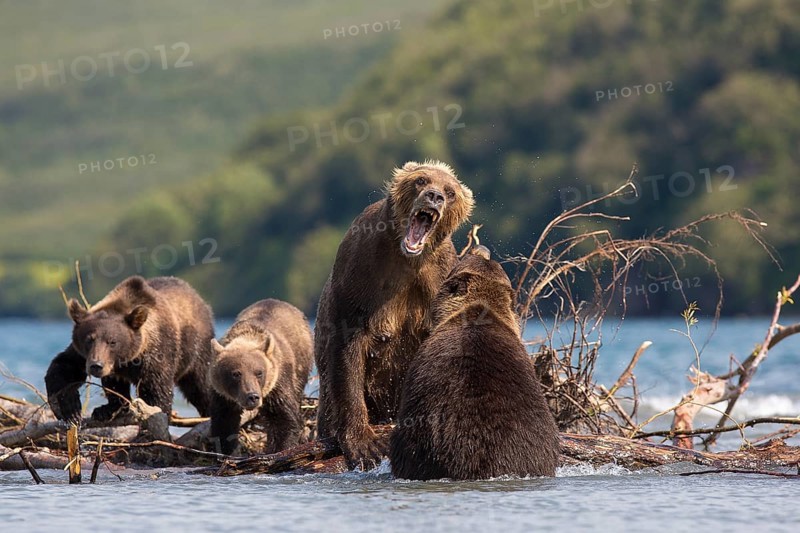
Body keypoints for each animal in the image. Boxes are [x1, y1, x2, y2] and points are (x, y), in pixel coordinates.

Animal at [45, 276, 216, 423]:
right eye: (89, 339)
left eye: (112, 342)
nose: (96, 366)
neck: (128, 358)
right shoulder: (83, 354)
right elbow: (64, 366)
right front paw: (70, 408)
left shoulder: (157, 352)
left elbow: (156, 389)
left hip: (197, 347)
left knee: (201, 385)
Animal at [208, 299, 313, 456]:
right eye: (236, 374)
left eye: (259, 372)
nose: (252, 396)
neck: (248, 336)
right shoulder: (222, 395)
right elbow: (224, 422)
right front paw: (229, 452)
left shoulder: (278, 382)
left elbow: (283, 417)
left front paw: (280, 449)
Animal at [314, 160, 474, 470]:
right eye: (421, 180)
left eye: (450, 191)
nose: (434, 196)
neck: (406, 259)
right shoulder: (360, 272)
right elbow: (349, 349)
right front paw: (365, 445)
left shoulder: (438, 276)